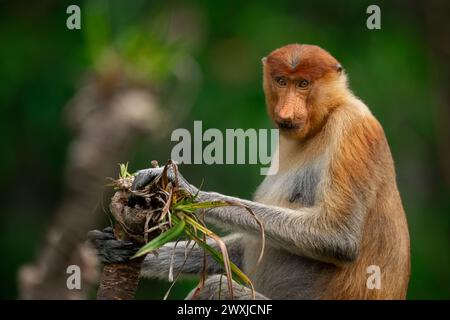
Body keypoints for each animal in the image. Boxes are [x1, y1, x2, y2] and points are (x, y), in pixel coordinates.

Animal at [89, 43, 410, 298]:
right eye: (281, 81)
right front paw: (110, 247)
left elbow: (338, 237)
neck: (325, 117)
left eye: (303, 84)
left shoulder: (353, 129)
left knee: (216, 287)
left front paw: (182, 190)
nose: (287, 111)